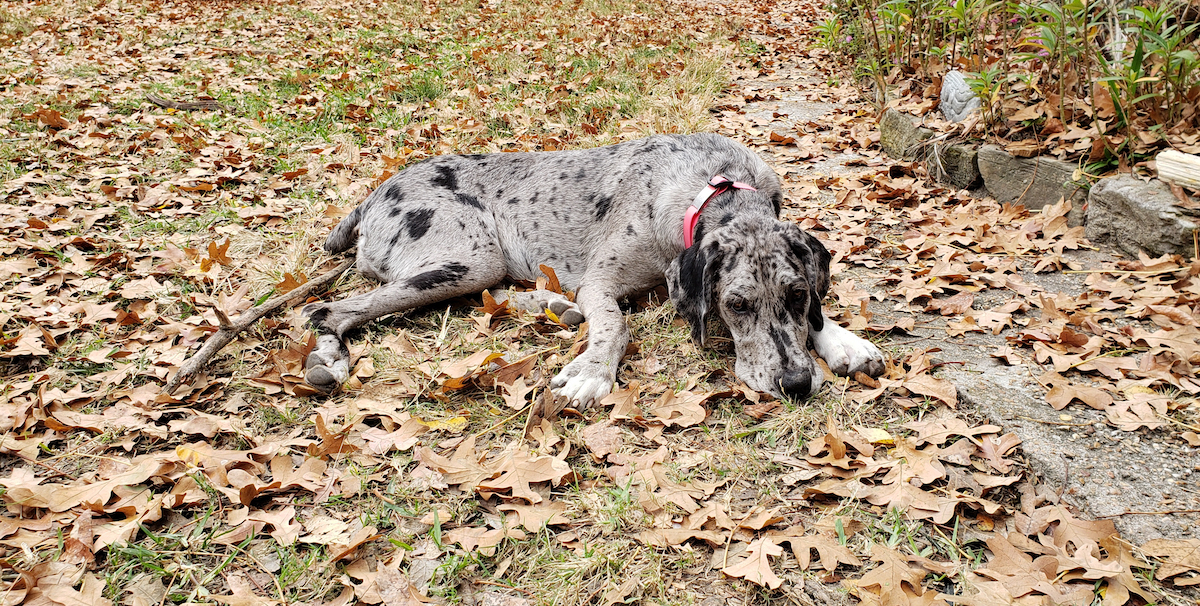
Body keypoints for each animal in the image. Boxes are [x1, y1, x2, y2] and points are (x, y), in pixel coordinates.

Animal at [302, 132, 883, 405]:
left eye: (797, 295)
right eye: (735, 305)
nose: (796, 384)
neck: (714, 186)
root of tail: (372, 195)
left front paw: (843, 340)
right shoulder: (600, 281)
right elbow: (616, 325)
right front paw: (591, 371)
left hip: (477, 265)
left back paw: (552, 305)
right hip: (470, 257)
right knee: (328, 308)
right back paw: (328, 357)